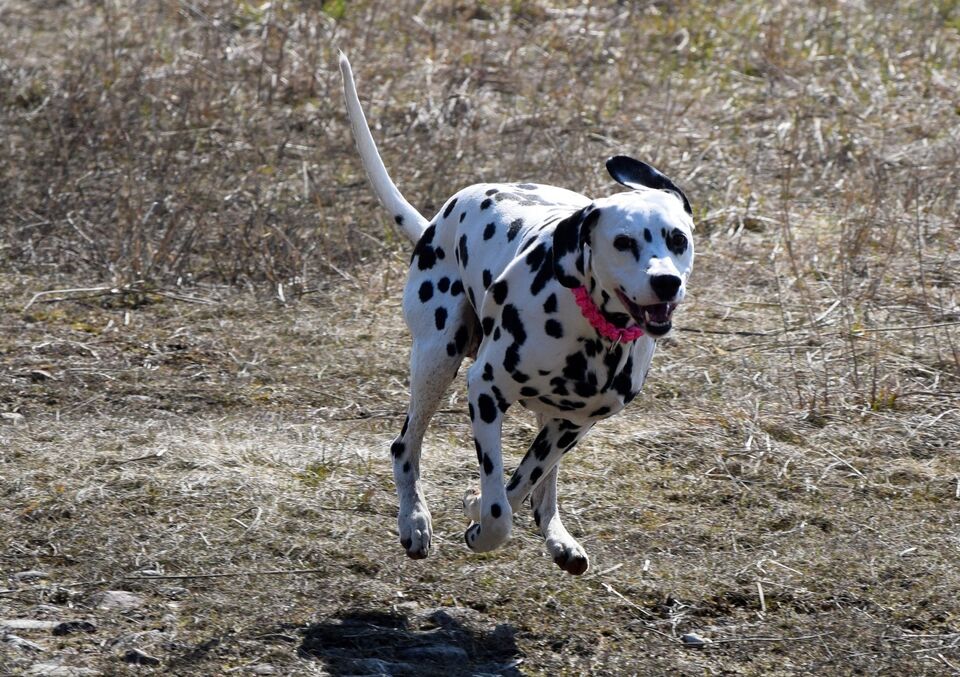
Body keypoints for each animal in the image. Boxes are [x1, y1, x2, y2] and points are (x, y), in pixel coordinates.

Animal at [339, 54, 695, 575]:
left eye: (677, 238)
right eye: (623, 242)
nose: (666, 281)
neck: (591, 333)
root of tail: (437, 219)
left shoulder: (572, 424)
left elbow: (522, 483)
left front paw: (484, 505)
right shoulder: (485, 391)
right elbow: (497, 508)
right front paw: (479, 521)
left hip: (557, 419)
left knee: (543, 485)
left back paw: (558, 537)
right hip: (437, 358)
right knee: (405, 447)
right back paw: (414, 523)